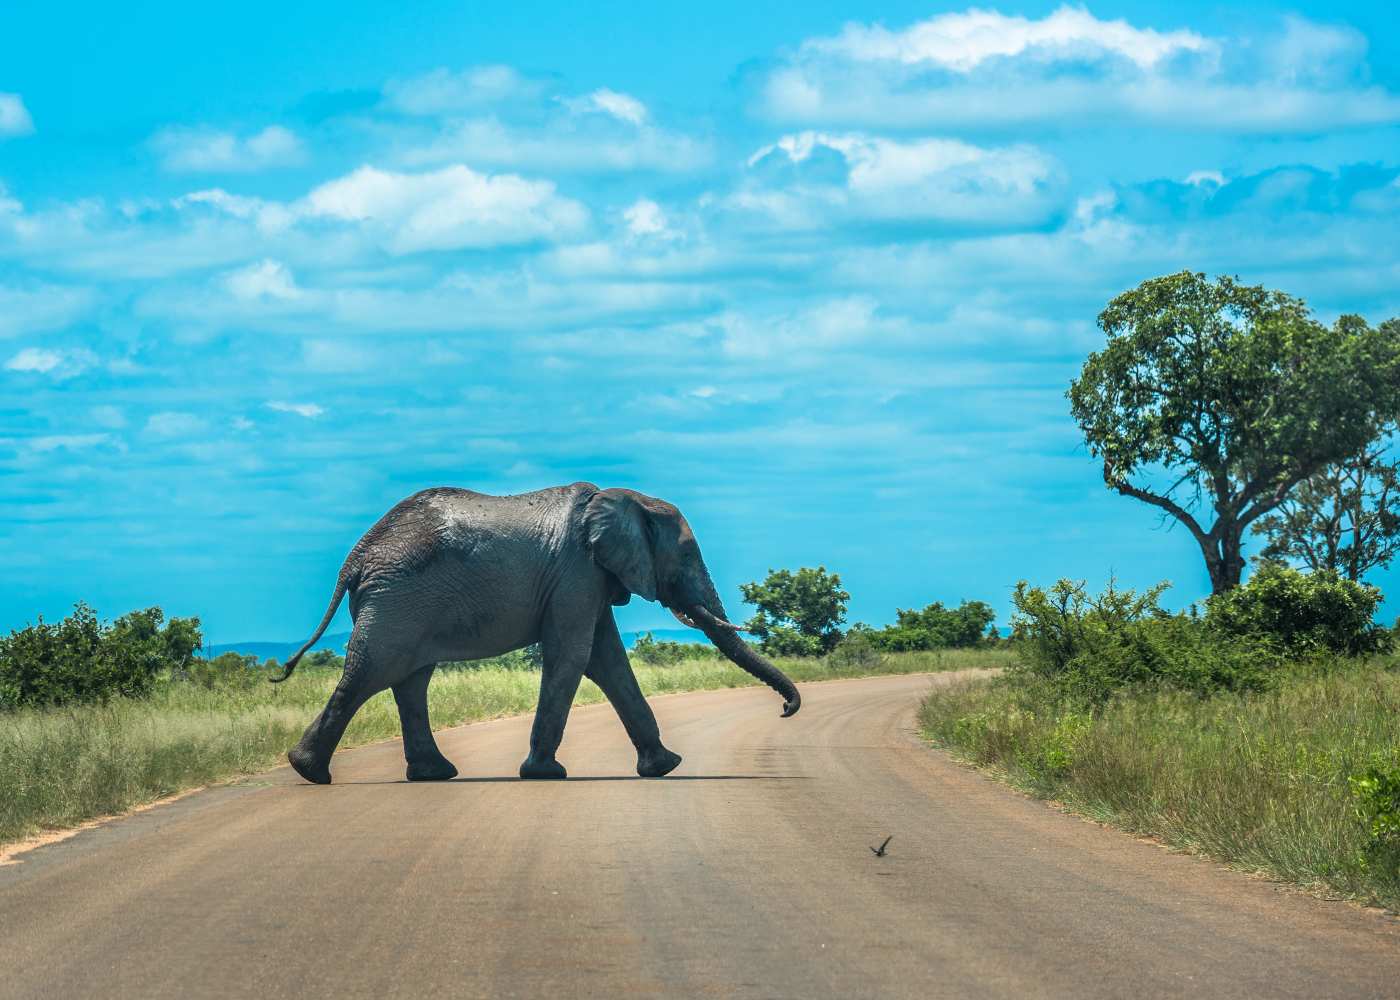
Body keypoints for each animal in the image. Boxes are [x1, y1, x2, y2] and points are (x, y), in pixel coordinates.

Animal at [273, 478, 800, 784]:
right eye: (687, 555)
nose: (786, 711)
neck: (628, 501)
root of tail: (356, 556)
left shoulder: (589, 577)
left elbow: (607, 660)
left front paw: (665, 767)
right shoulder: (577, 572)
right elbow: (575, 655)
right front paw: (546, 774)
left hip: (402, 601)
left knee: (410, 680)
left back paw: (431, 775)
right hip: (397, 601)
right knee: (373, 673)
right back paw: (311, 773)